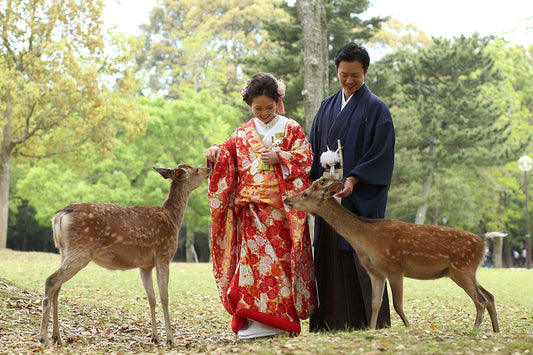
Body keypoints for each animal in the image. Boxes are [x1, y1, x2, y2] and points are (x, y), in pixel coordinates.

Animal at [39, 165, 210, 348]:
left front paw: (155, 337)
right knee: (51, 281)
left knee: (57, 287)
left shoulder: (145, 265)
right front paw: (171, 339)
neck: (172, 220)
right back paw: (44, 338)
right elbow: (164, 297)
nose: (209, 167)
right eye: (196, 170)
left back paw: (57, 336)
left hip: (63, 250)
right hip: (81, 250)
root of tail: (59, 216)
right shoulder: (164, 254)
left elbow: (151, 298)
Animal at [282, 179, 502, 332]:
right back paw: (496, 330)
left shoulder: (395, 267)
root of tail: (483, 240)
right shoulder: (375, 272)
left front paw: (408, 327)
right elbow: (374, 303)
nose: (286, 199)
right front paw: (371, 329)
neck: (366, 241)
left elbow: (397, 304)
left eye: (305, 193)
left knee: (481, 301)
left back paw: (474, 330)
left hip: (463, 269)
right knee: (489, 296)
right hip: (465, 271)